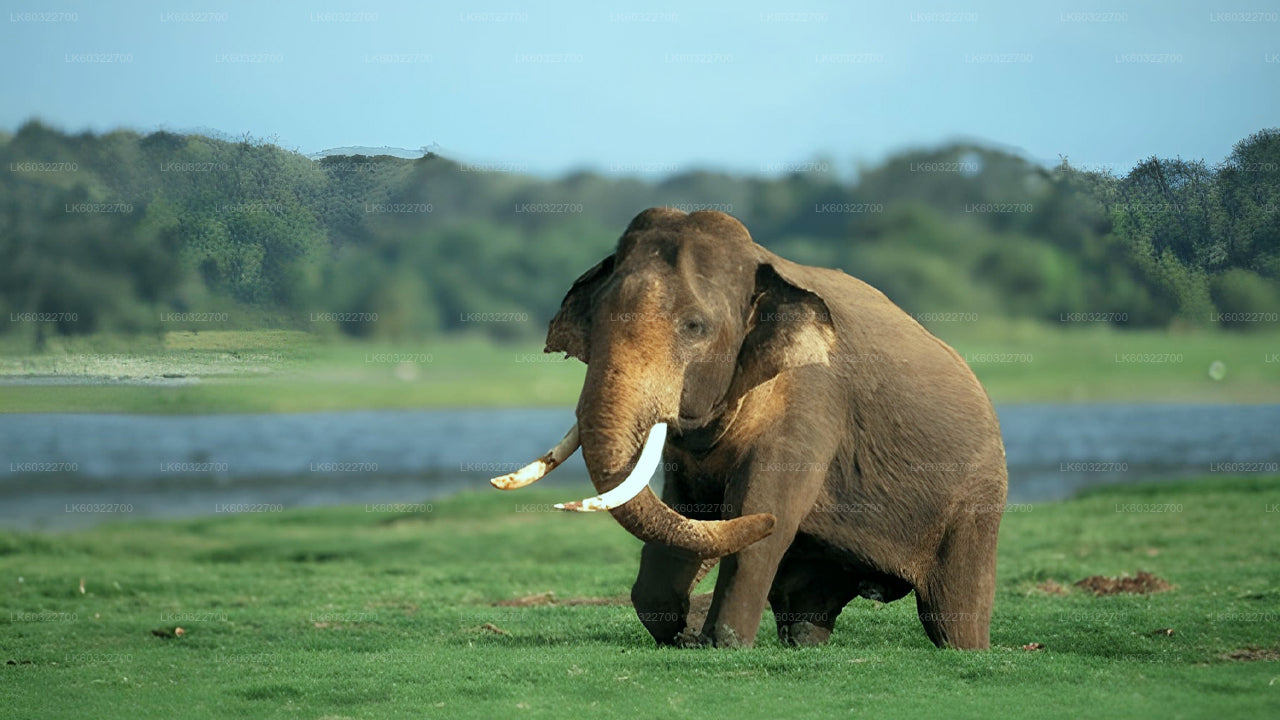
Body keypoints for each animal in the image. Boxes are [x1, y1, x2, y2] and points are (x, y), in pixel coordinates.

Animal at [493, 207, 1007, 649]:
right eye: (596, 317)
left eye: (694, 326)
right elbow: (689, 510)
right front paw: (681, 635)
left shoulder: (812, 401)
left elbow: (760, 513)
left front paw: (720, 644)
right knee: (807, 604)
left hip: (976, 500)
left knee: (951, 614)